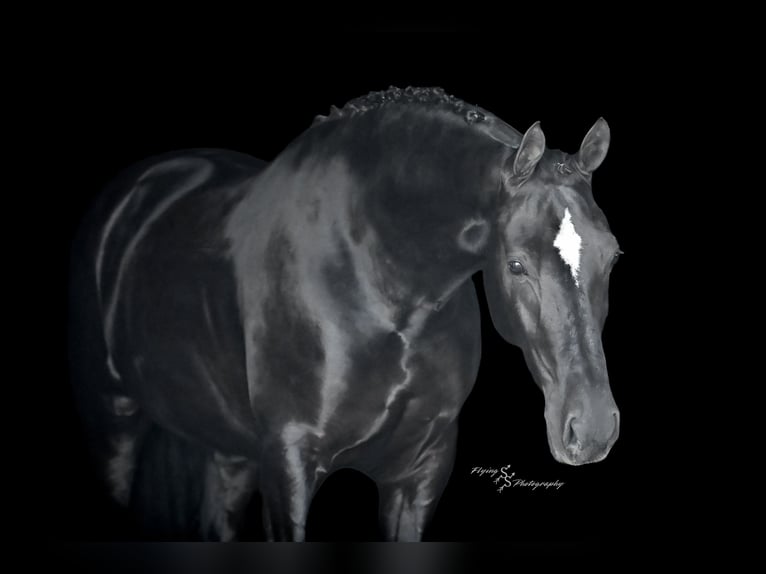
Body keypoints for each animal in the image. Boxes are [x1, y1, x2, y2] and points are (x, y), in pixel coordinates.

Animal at [68, 86, 621, 541]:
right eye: (516, 264)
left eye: (613, 256)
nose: (593, 429)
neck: (378, 282)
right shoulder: (288, 465)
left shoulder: (419, 473)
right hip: (113, 421)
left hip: (230, 451)